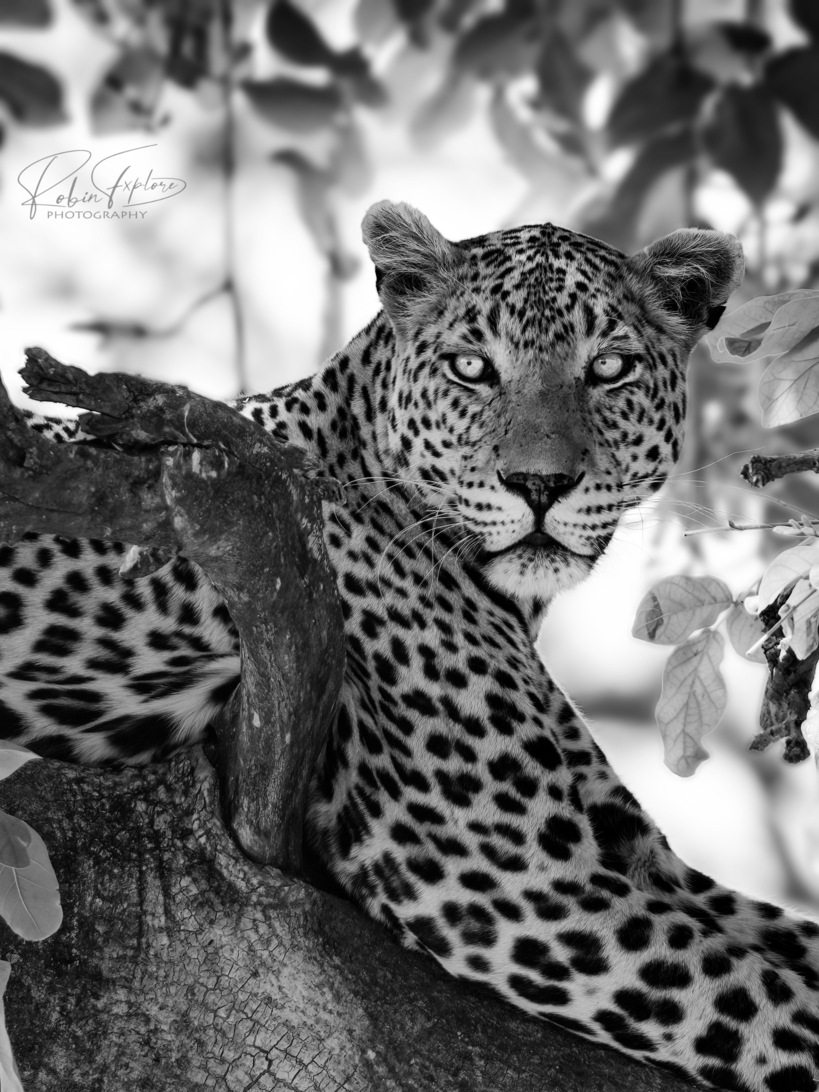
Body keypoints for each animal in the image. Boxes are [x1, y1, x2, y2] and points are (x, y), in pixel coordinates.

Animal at [3, 199, 819, 1092]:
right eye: (470, 367)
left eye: (608, 369)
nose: (538, 485)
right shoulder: (506, 874)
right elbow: (776, 1007)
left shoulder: (627, 849)